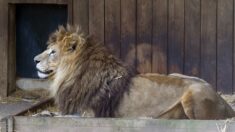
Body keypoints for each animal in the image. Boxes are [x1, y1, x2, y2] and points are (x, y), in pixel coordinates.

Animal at [33, 25, 235, 119]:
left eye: (52, 52)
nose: (34, 60)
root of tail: (225, 103)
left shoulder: (87, 113)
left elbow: (59, 116)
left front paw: (42, 115)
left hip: (192, 95)